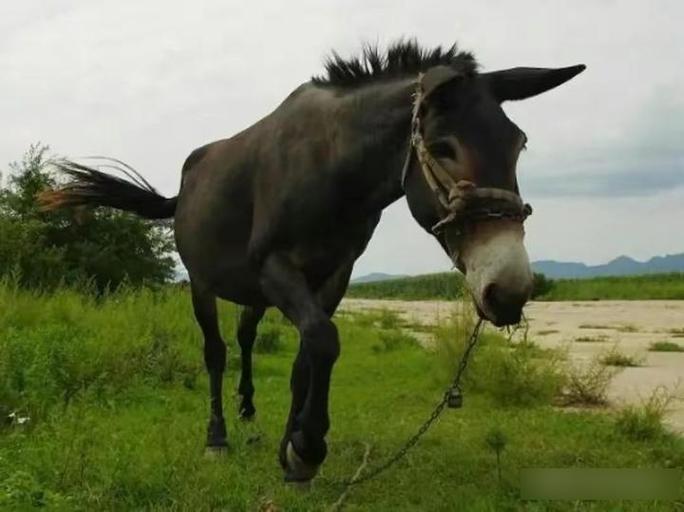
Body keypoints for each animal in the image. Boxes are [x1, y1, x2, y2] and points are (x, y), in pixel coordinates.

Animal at [41, 40, 585, 482]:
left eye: (519, 145)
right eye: (443, 147)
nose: (509, 290)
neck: (332, 167)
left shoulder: (333, 274)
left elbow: (306, 355)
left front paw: (290, 446)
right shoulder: (276, 266)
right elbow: (323, 339)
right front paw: (307, 448)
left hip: (253, 292)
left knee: (246, 337)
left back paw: (248, 409)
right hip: (201, 283)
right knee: (216, 351)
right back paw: (218, 436)